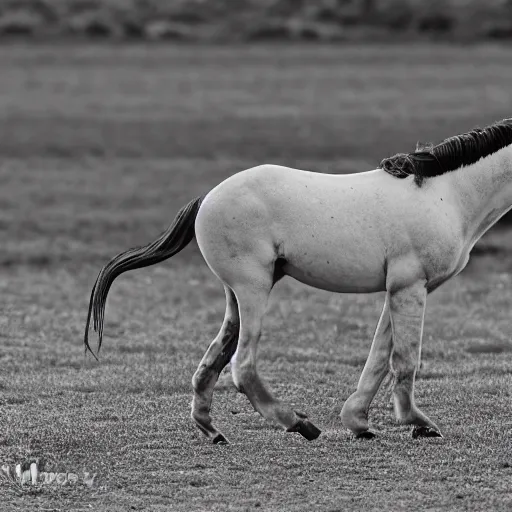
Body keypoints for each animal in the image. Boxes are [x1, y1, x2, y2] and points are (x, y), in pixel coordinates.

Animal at [85, 117, 512, 444]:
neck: (448, 194)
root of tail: (206, 199)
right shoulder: (410, 286)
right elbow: (404, 359)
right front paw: (419, 424)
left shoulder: (400, 289)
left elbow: (378, 354)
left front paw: (359, 422)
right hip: (253, 290)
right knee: (242, 366)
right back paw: (299, 424)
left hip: (235, 296)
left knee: (213, 360)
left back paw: (214, 431)